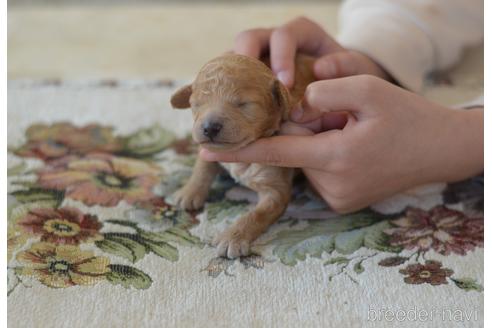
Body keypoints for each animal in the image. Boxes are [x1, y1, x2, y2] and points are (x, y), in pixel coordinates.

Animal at [171, 53, 314, 258]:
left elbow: (257, 214)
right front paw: (189, 192)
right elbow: (203, 166)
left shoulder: (276, 189)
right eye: (197, 104)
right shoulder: (209, 150)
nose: (209, 128)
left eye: (243, 104)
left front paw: (233, 237)